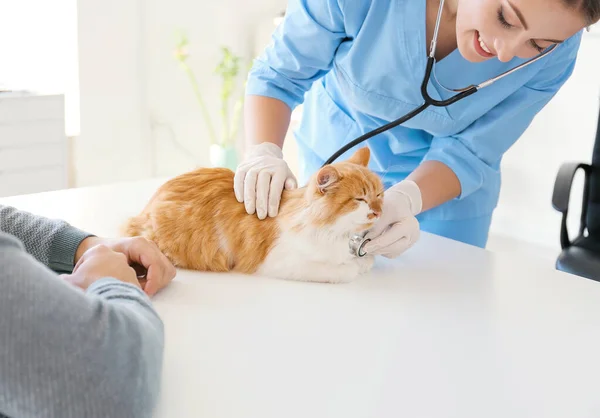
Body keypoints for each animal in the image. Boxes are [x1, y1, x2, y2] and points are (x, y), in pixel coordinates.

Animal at [123, 148, 384, 284]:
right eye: (360, 199)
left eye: (379, 195)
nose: (378, 212)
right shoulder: (279, 262)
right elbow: (342, 270)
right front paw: (353, 267)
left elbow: (363, 260)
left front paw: (361, 262)